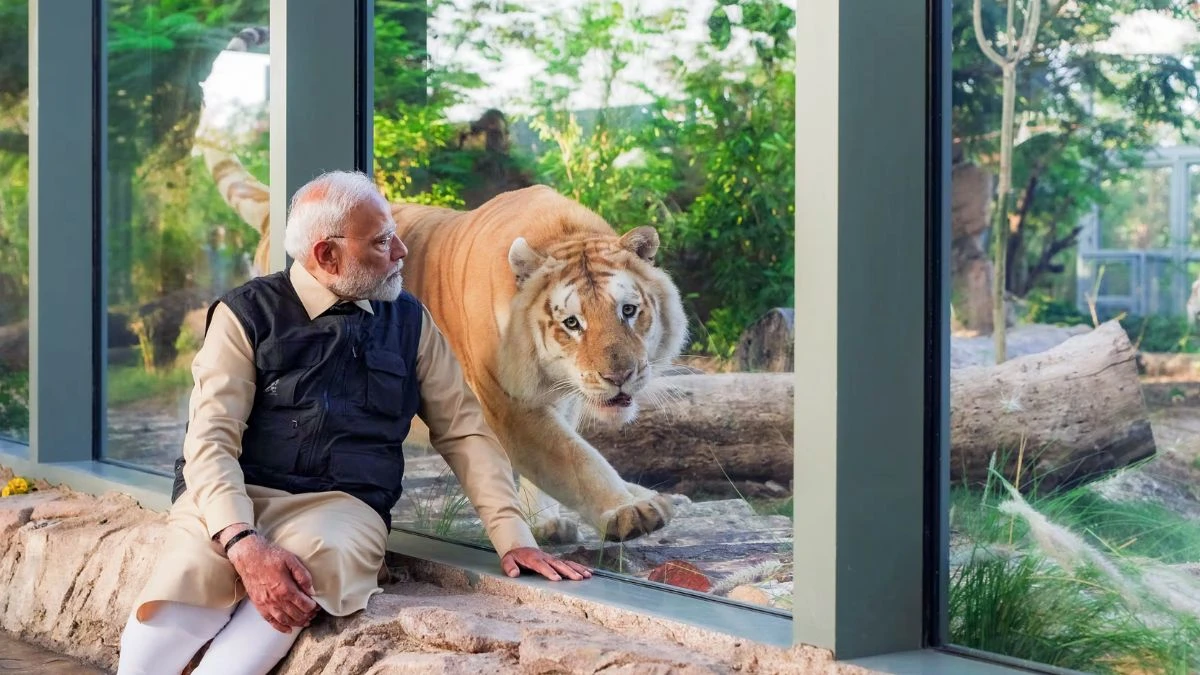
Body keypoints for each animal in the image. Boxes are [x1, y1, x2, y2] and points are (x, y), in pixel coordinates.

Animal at [193, 28, 688, 542]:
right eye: (572, 323)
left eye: (628, 311)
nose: (620, 376)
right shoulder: (510, 405)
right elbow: (573, 459)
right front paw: (631, 509)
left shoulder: (564, 395)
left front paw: (550, 521)